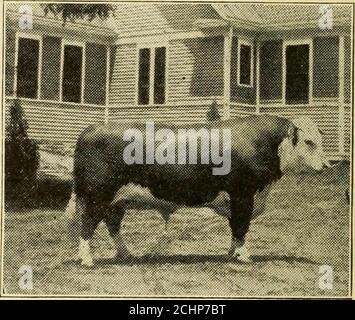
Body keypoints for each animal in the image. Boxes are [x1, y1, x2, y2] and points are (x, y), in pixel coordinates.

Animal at [65, 114, 330, 266]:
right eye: (309, 142)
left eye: (320, 139)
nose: (328, 166)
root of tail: (89, 130)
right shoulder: (242, 194)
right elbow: (242, 226)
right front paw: (244, 255)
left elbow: (235, 228)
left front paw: (231, 253)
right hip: (98, 194)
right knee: (88, 223)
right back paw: (87, 259)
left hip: (116, 200)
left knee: (112, 224)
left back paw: (126, 254)